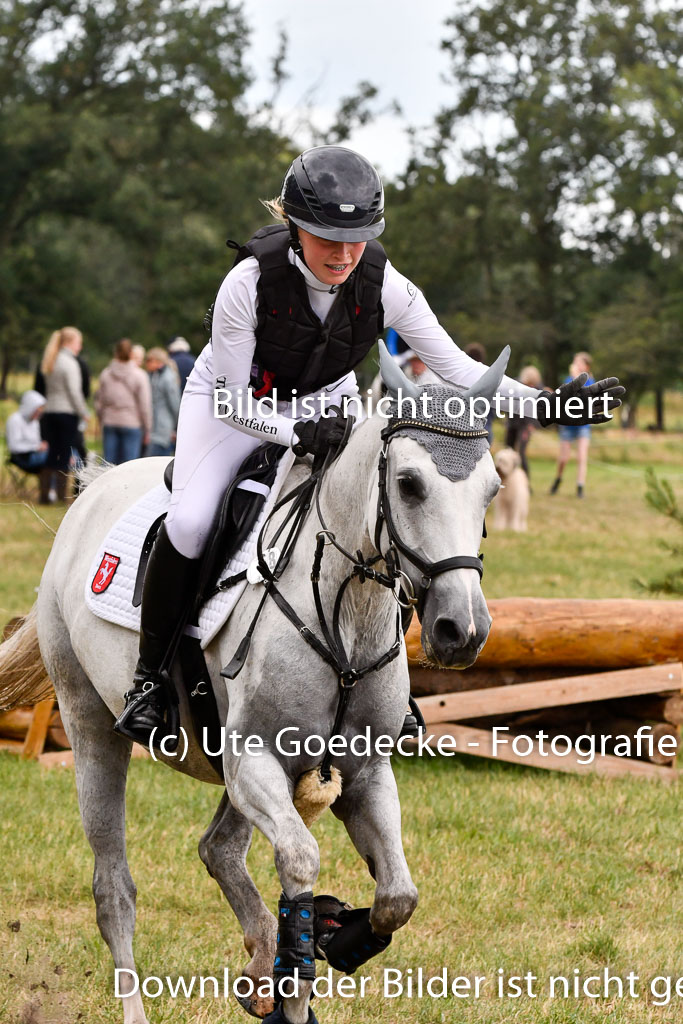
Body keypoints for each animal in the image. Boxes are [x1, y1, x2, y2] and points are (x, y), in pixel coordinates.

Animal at [0, 346, 507, 1024]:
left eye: (491, 490)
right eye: (408, 483)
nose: (462, 630)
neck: (348, 614)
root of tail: (95, 487)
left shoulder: (363, 773)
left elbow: (397, 896)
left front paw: (335, 938)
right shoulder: (255, 762)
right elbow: (300, 861)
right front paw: (300, 964)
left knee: (218, 848)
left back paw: (262, 967)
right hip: (91, 725)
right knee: (114, 887)